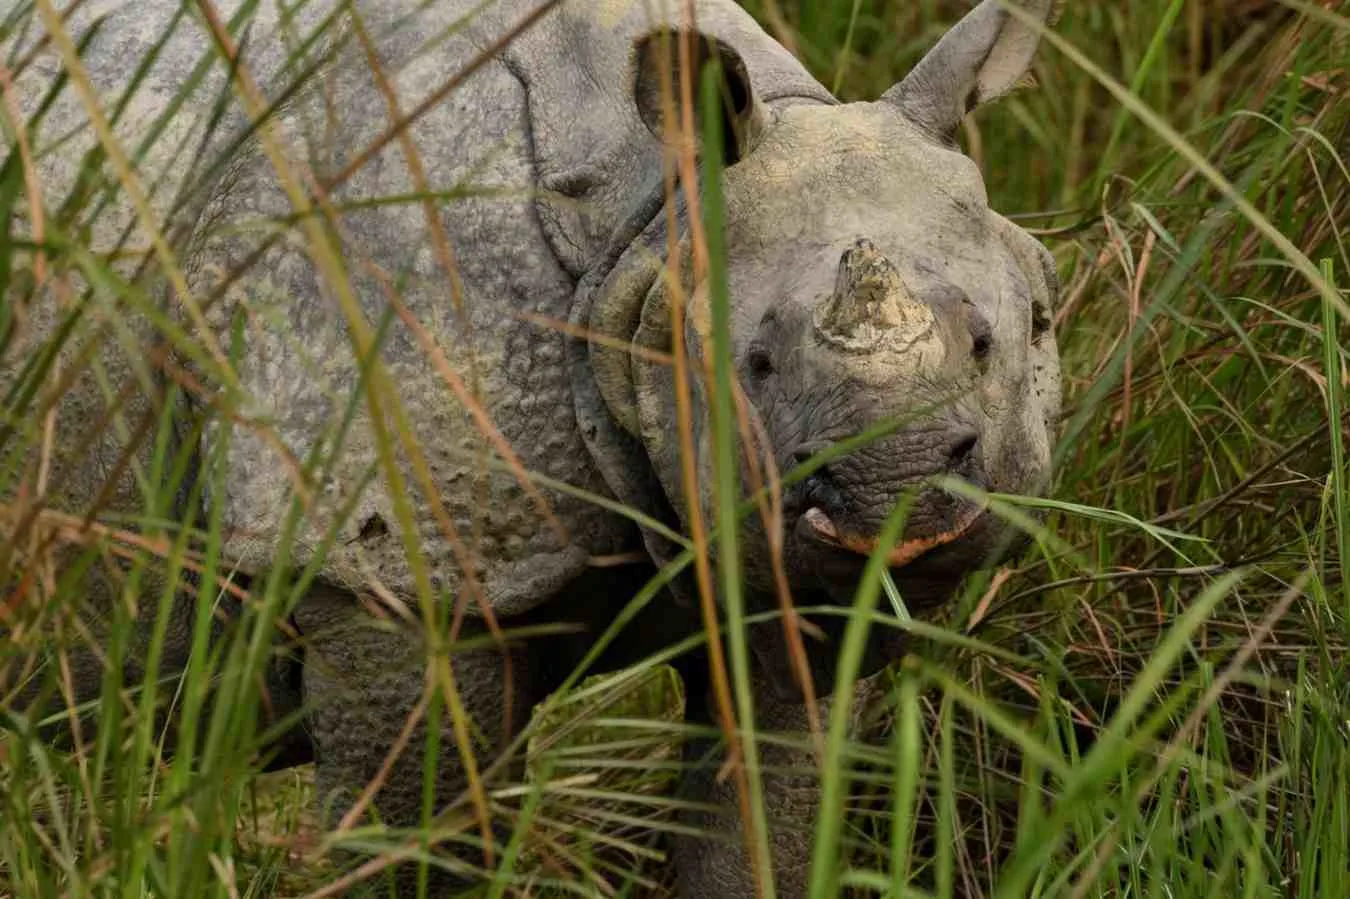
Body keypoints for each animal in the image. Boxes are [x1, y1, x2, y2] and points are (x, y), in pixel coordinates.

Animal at [1, 0, 1062, 894]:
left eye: (1002, 337)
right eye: (752, 362)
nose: (896, 494)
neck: (644, 225)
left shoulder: (778, 565)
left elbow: (767, 809)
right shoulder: (401, 550)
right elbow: (411, 832)